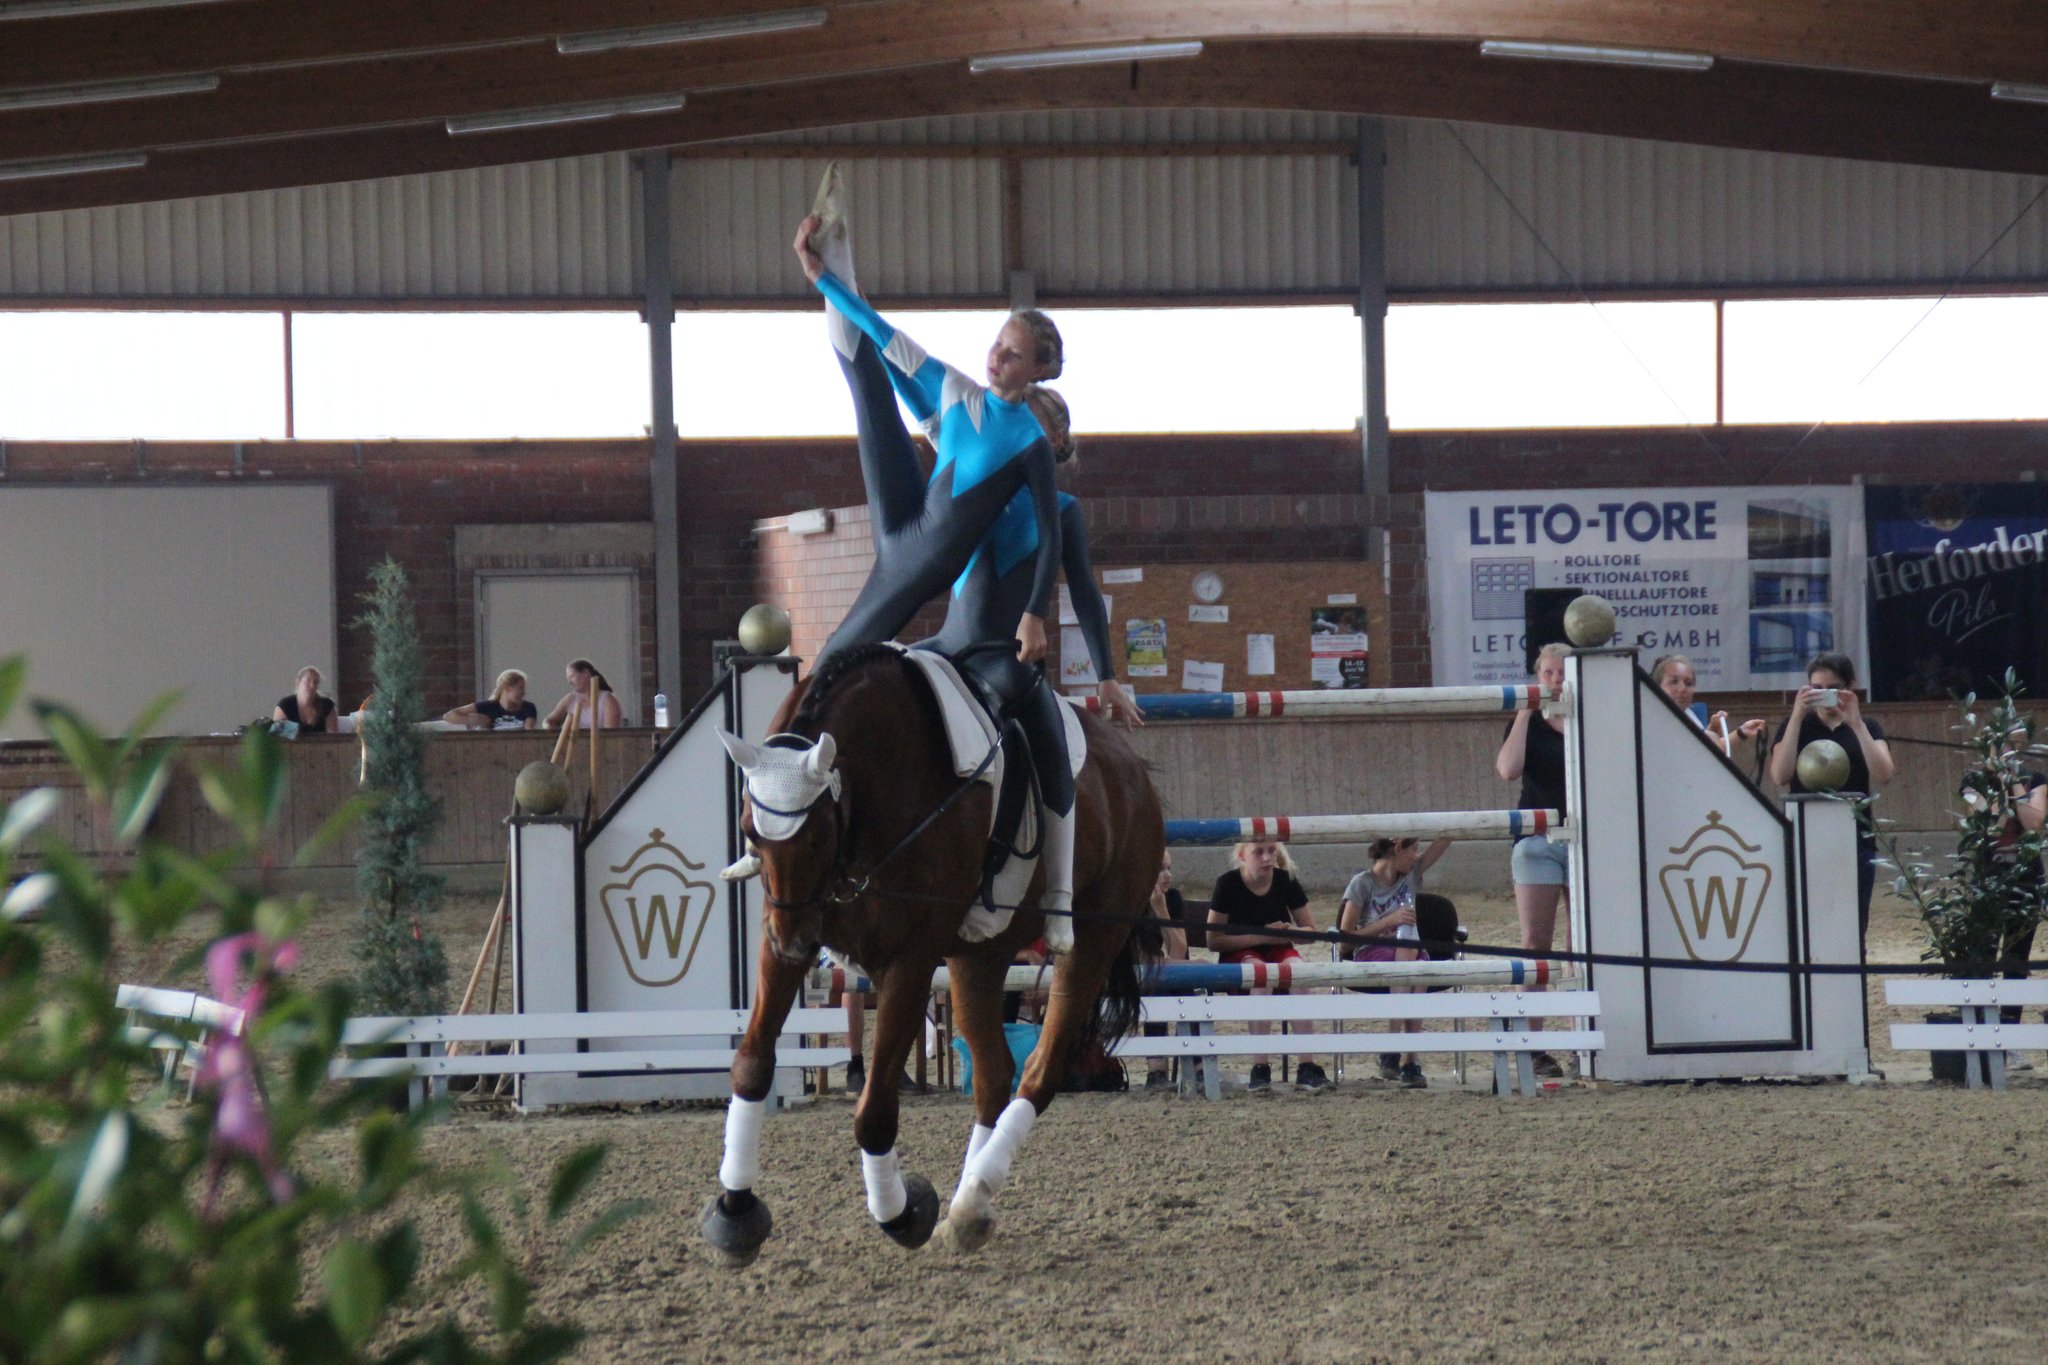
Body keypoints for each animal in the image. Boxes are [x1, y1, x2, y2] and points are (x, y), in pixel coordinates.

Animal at [699, 643, 1164, 1261]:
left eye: (818, 836)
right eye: (751, 832)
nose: (793, 939)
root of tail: (1135, 772)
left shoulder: (909, 961)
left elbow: (873, 1112)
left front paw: (902, 1212)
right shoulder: (782, 945)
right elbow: (750, 1065)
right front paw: (735, 1211)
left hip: (1089, 944)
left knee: (1039, 1072)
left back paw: (970, 1200)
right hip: (977, 958)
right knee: (994, 1074)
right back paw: (972, 1206)